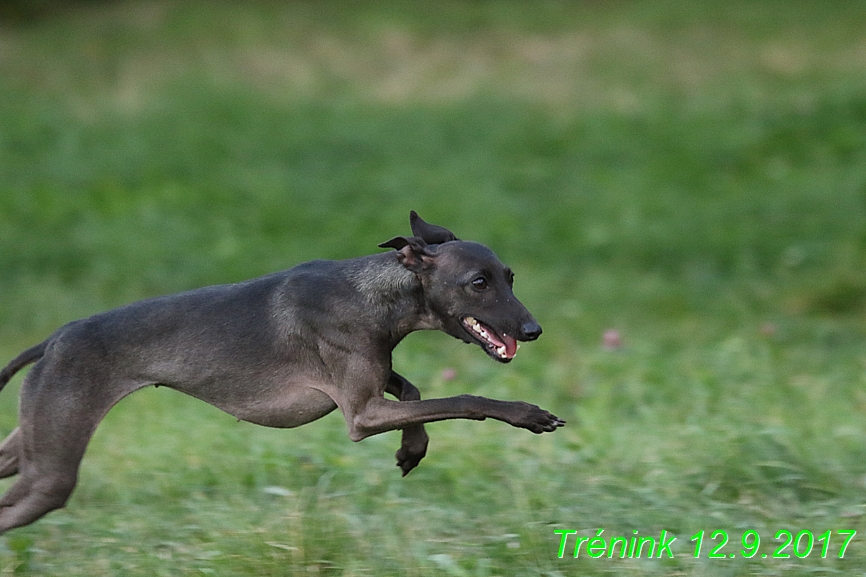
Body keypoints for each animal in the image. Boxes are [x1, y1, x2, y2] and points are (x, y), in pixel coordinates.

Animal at [0, 210, 564, 532]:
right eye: (478, 283)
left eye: (510, 277)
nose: (533, 329)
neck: (376, 292)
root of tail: (55, 340)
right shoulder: (361, 414)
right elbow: (464, 400)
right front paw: (528, 414)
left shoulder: (367, 386)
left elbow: (414, 389)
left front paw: (412, 450)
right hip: (50, 471)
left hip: (29, 442)